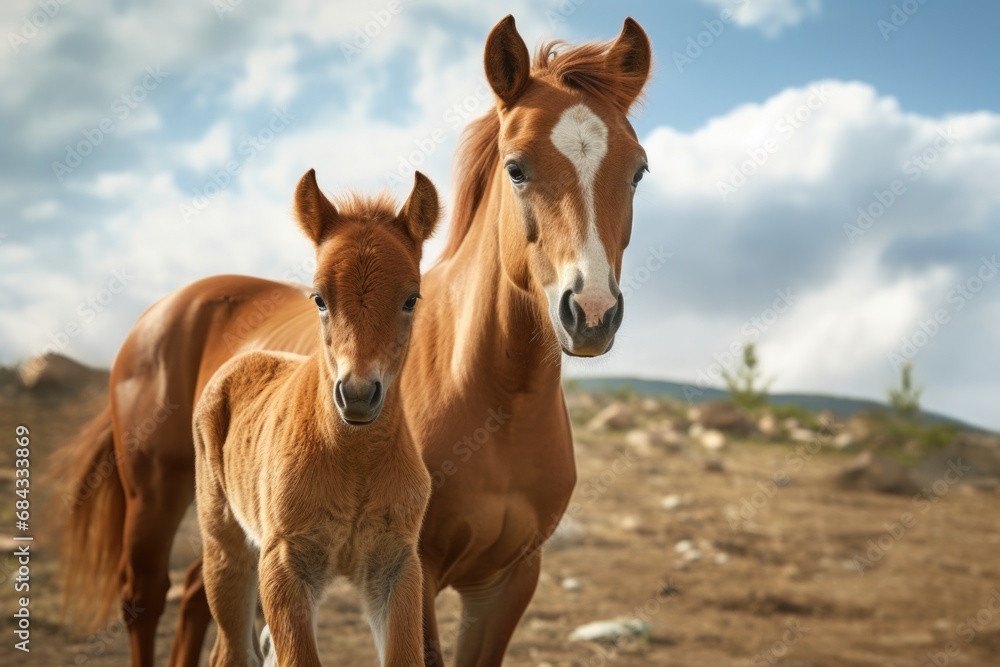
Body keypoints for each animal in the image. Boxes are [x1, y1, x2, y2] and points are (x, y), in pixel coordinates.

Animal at [193, 169, 437, 667]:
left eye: (411, 299)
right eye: (319, 298)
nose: (358, 395)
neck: (354, 463)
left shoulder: (396, 564)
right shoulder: (284, 561)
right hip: (226, 549)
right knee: (231, 650)